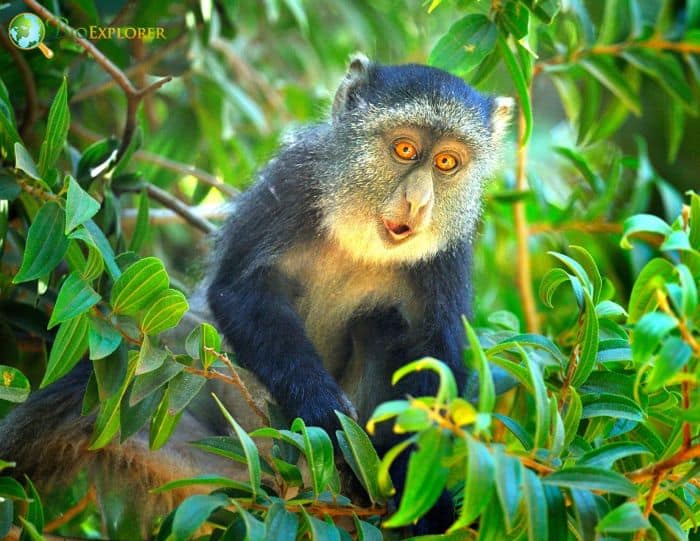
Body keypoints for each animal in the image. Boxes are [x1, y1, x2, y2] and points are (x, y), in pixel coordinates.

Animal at [0, 55, 512, 536]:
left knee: (382, 323)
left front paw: (423, 500)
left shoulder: (447, 257)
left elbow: (434, 356)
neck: (360, 237)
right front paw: (323, 412)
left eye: (447, 163)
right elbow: (239, 292)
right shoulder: (290, 183)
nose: (418, 202)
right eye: (404, 149)